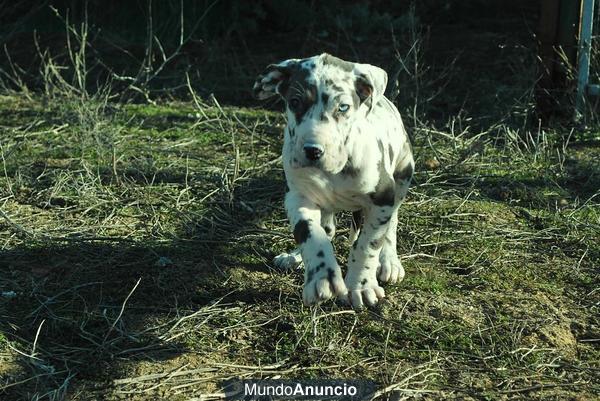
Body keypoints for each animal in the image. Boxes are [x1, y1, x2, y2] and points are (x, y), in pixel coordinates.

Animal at [252, 53, 412, 310]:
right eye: (294, 102)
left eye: (343, 107)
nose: (312, 151)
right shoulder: (298, 197)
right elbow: (310, 233)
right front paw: (321, 276)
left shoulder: (383, 197)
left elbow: (367, 244)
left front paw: (360, 286)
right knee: (326, 229)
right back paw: (295, 257)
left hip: (402, 177)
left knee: (391, 226)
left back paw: (390, 262)